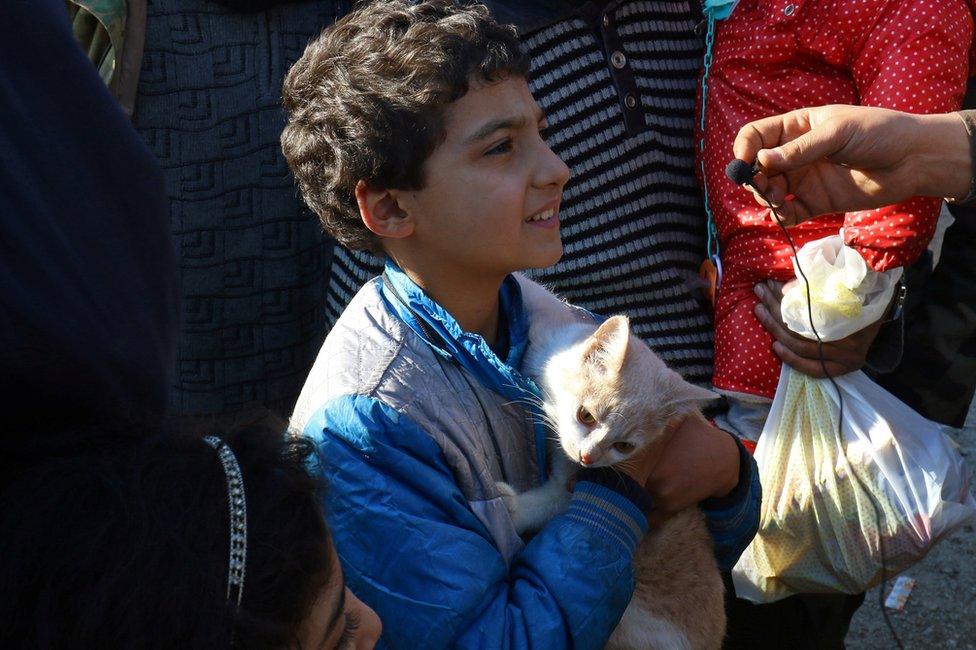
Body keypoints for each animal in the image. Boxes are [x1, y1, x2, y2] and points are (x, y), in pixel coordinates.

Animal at [504, 278, 724, 648]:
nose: (588, 456)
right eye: (586, 416)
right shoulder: (554, 326)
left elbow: (551, 501)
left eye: (623, 446)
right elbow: (534, 292)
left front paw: (508, 508)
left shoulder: (573, 485)